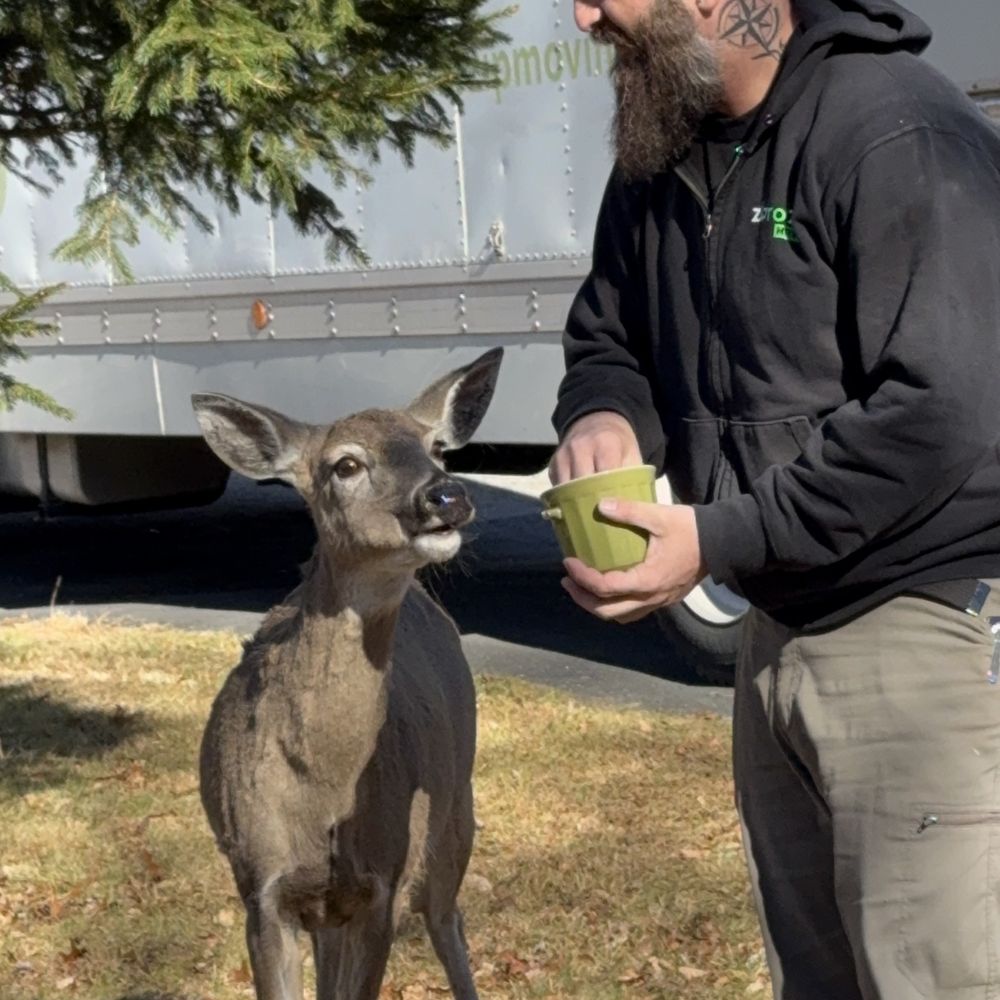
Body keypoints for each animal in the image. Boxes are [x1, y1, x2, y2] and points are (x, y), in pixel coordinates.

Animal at [191, 347, 503, 1000]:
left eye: (437, 447)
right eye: (346, 464)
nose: (446, 496)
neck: (319, 792)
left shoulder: (381, 888)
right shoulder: (262, 888)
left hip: (453, 809)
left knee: (449, 922)